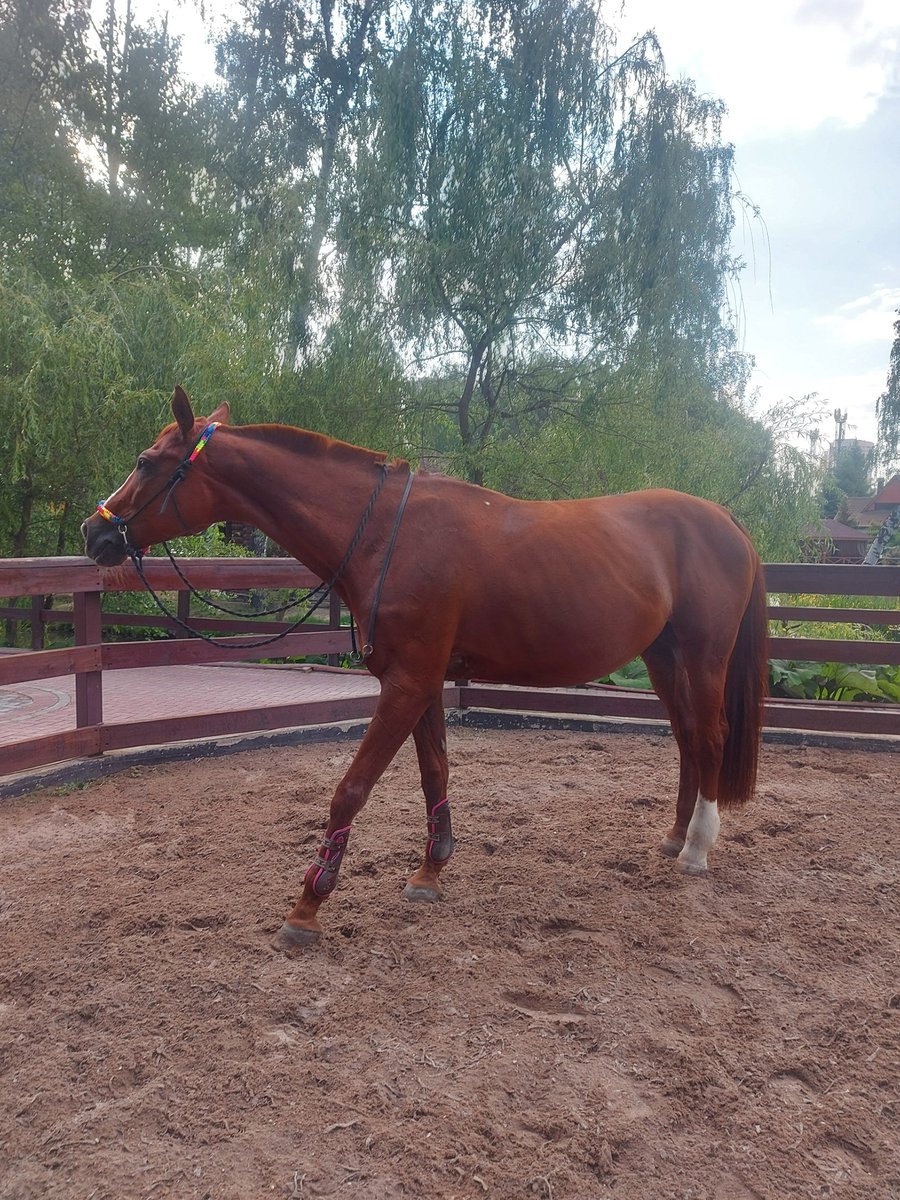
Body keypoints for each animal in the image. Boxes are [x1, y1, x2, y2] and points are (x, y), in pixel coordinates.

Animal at [82, 387, 768, 950]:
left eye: (145, 461)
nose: (94, 533)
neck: (388, 533)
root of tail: (727, 521)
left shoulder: (407, 683)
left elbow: (351, 789)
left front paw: (308, 904)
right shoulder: (422, 681)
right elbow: (434, 773)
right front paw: (430, 870)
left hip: (703, 656)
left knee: (709, 737)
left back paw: (697, 851)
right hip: (663, 657)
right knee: (687, 739)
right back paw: (675, 836)